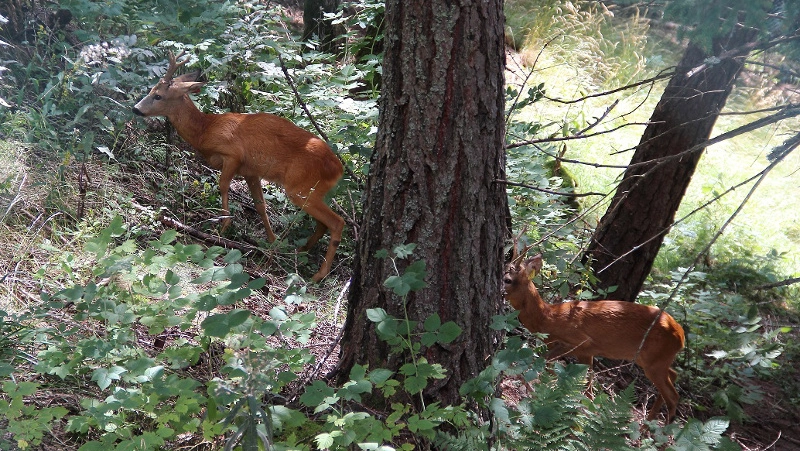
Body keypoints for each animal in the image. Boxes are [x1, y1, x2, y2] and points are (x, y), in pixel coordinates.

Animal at [132, 50, 344, 282]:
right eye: (151, 90)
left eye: (158, 96)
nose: (136, 109)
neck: (205, 130)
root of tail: (338, 168)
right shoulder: (252, 171)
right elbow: (260, 205)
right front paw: (273, 241)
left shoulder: (232, 154)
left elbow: (223, 185)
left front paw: (223, 226)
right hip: (314, 191)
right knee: (323, 223)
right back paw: (301, 251)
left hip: (300, 187)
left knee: (337, 222)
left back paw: (318, 274)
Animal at [504, 254, 684, 424]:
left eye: (507, 279)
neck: (549, 318)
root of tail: (680, 335)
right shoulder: (575, 349)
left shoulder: (582, 344)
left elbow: (581, 384)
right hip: (651, 360)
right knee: (673, 376)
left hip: (654, 363)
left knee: (673, 396)